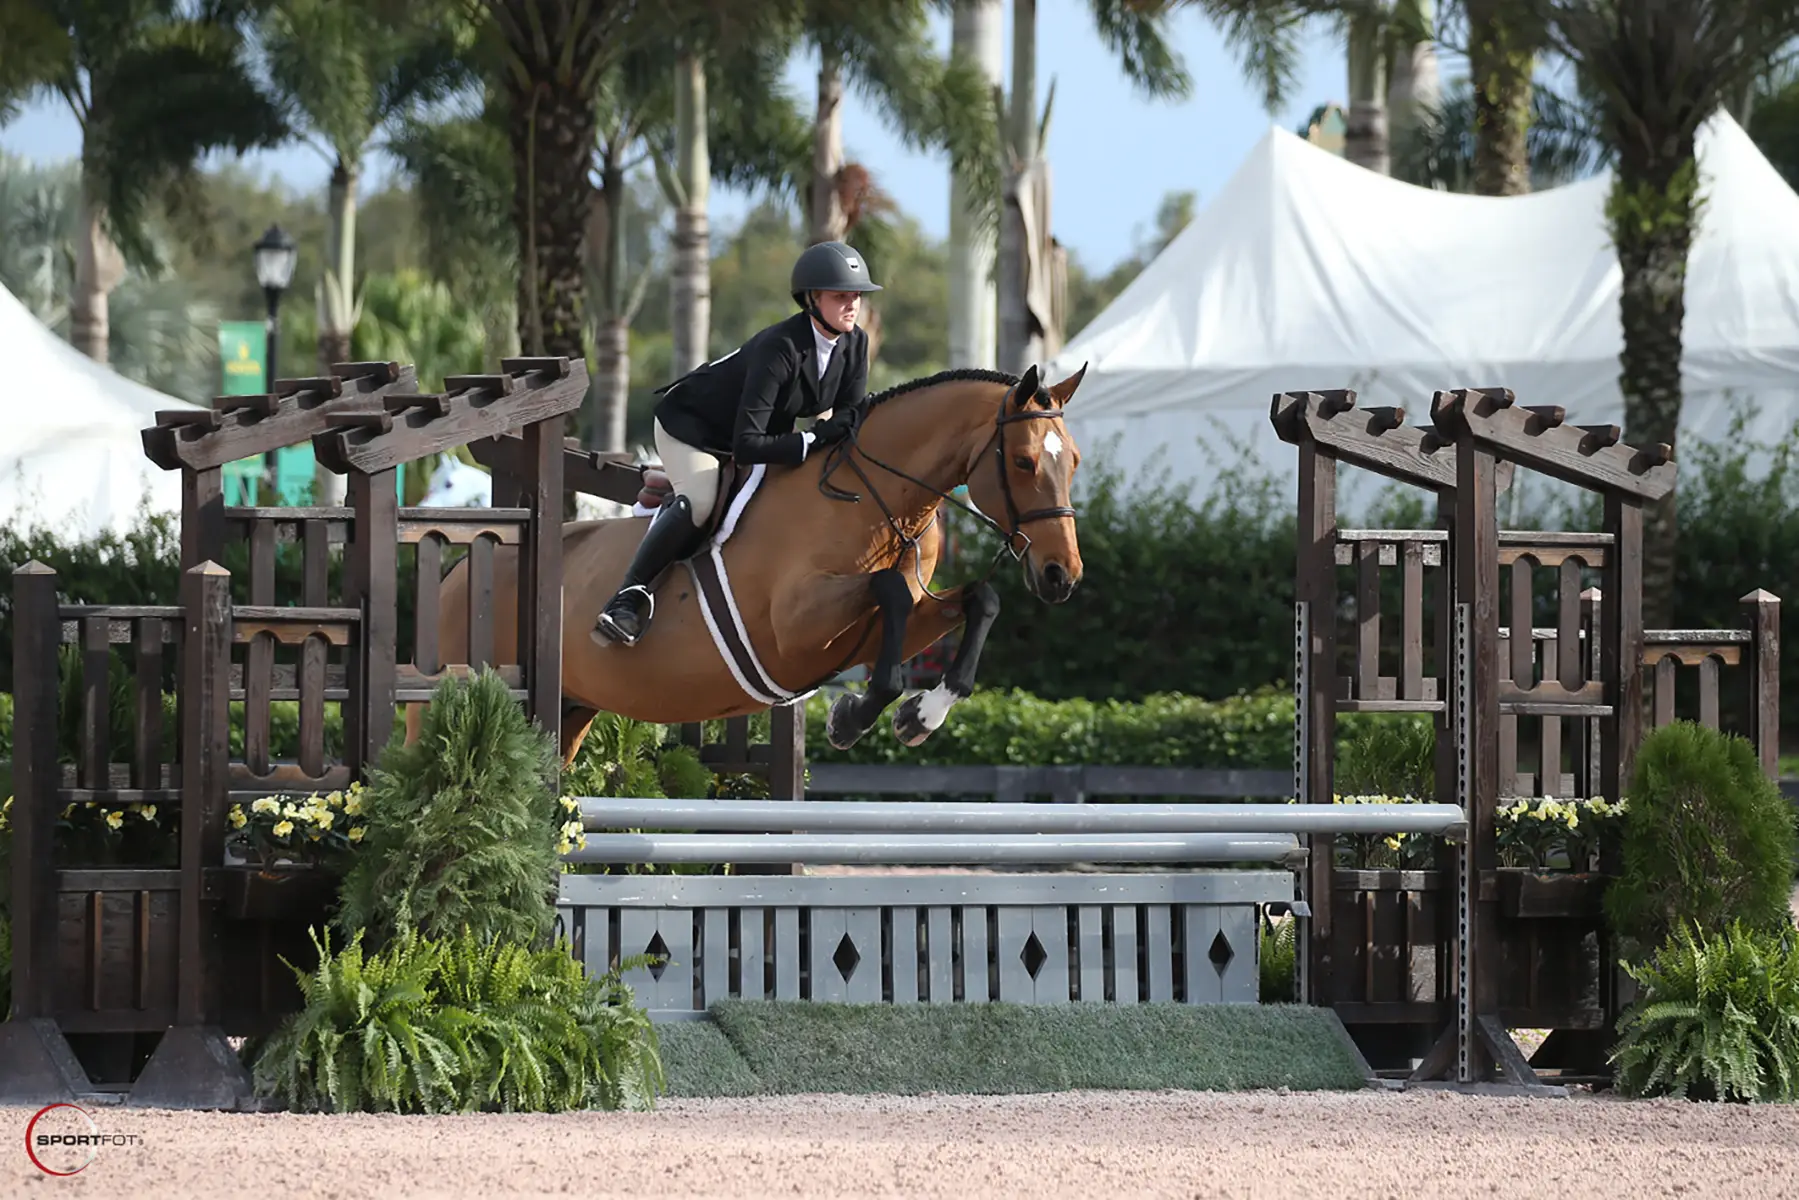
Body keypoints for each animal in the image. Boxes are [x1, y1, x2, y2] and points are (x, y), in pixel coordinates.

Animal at [407, 362, 1088, 764]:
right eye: (1024, 461)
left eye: (1075, 460)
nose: (1063, 575)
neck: (874, 500)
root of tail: (459, 573)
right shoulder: (793, 628)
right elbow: (890, 592)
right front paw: (853, 716)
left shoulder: (881, 624)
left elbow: (978, 600)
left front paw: (920, 715)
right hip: (446, 702)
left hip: (567, 710)